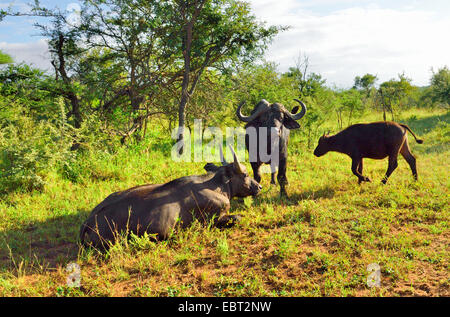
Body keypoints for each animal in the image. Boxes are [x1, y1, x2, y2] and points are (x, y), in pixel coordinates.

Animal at [78, 147, 260, 248]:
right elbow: (237, 217)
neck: (216, 185)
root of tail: (88, 221)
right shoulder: (215, 218)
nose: (259, 186)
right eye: (245, 174)